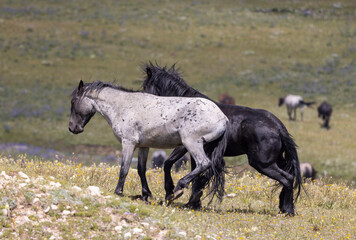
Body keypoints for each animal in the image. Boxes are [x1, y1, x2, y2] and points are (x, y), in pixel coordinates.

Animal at [69, 80, 228, 202]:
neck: (122, 106)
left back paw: (178, 188)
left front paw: (118, 191)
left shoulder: (128, 143)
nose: (72, 128)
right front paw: (146, 194)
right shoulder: (143, 146)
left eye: (73, 101)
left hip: (191, 143)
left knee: (204, 163)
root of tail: (223, 118)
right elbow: (141, 169)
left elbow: (124, 168)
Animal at [142, 62, 304, 216]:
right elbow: (196, 174)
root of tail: (278, 127)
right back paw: (285, 208)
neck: (184, 109)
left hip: (263, 163)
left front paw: (173, 192)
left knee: (287, 179)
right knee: (289, 178)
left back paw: (287, 210)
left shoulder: (184, 145)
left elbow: (169, 164)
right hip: (276, 161)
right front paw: (193, 202)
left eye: (145, 86)